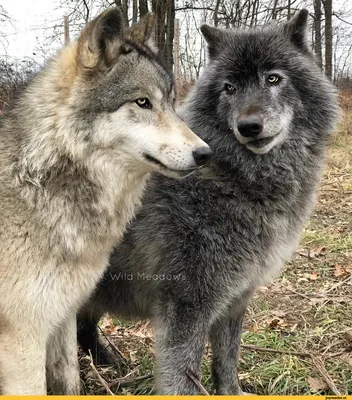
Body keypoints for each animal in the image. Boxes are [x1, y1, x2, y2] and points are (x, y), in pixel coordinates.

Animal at [0, 7, 210, 396]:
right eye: (142, 102)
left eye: (171, 103)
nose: (205, 153)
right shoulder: (23, 337)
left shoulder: (63, 313)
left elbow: (69, 382)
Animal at [77, 9, 338, 394]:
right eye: (229, 87)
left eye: (273, 78)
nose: (249, 126)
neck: (233, 177)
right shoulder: (188, 305)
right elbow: (182, 376)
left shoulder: (236, 298)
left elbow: (227, 360)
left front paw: (233, 392)